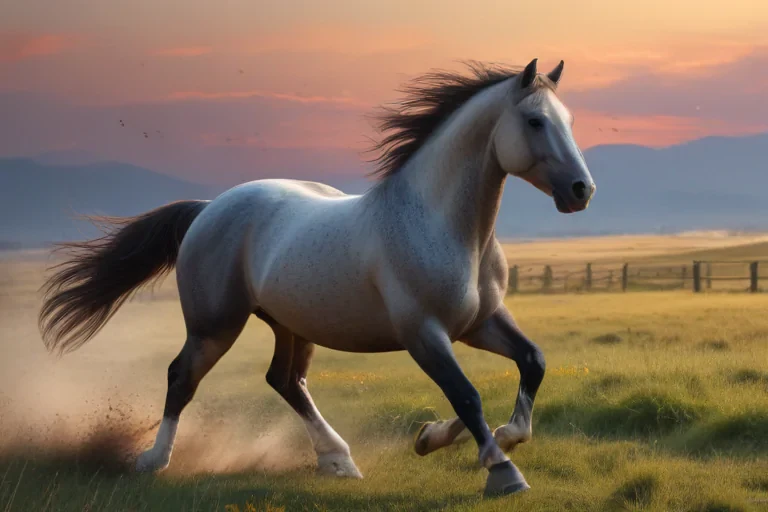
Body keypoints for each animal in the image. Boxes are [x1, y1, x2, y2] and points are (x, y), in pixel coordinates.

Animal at [39, 58, 595, 497]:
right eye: (534, 121)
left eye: (568, 120)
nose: (581, 190)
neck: (441, 225)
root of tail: (208, 207)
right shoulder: (424, 334)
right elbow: (467, 395)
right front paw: (501, 470)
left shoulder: (479, 324)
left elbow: (532, 363)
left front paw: (447, 436)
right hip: (214, 325)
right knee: (182, 377)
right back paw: (154, 460)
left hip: (290, 325)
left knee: (285, 380)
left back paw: (338, 460)